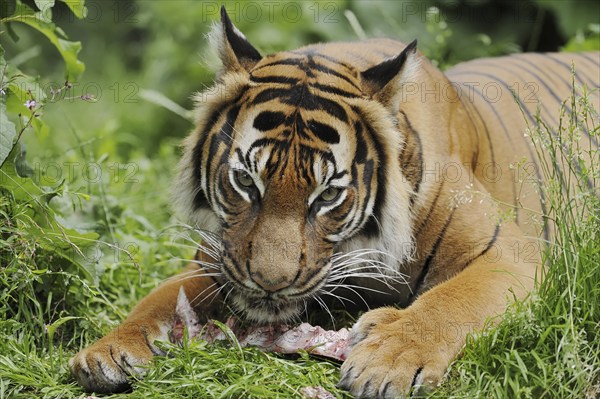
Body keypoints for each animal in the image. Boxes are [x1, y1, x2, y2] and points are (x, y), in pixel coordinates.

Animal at [69, 7, 596, 399]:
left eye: (328, 195)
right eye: (245, 182)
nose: (269, 284)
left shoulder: (507, 256)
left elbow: (450, 302)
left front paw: (386, 362)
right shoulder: (217, 260)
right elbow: (157, 298)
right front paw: (107, 351)